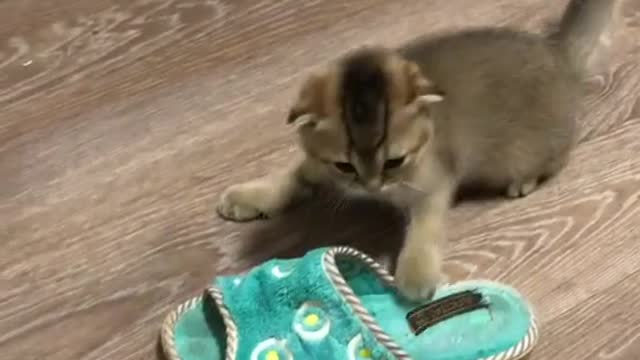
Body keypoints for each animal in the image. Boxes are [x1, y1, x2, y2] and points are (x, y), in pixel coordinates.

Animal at [218, 0, 616, 300]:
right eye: (346, 166)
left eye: (394, 161)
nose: (371, 186)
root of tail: (558, 51)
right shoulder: (320, 164)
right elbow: (291, 174)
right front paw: (250, 196)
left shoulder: (434, 183)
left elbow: (425, 227)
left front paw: (416, 273)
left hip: (526, 153)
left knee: (557, 160)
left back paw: (525, 182)